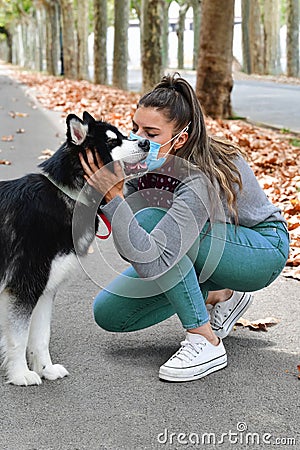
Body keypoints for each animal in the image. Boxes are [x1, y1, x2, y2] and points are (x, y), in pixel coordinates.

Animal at [0, 110, 149, 384]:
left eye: (124, 134)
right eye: (112, 141)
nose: (145, 143)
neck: (69, 195)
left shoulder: (46, 290)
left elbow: (41, 336)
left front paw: (45, 369)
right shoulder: (25, 287)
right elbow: (18, 337)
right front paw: (20, 373)